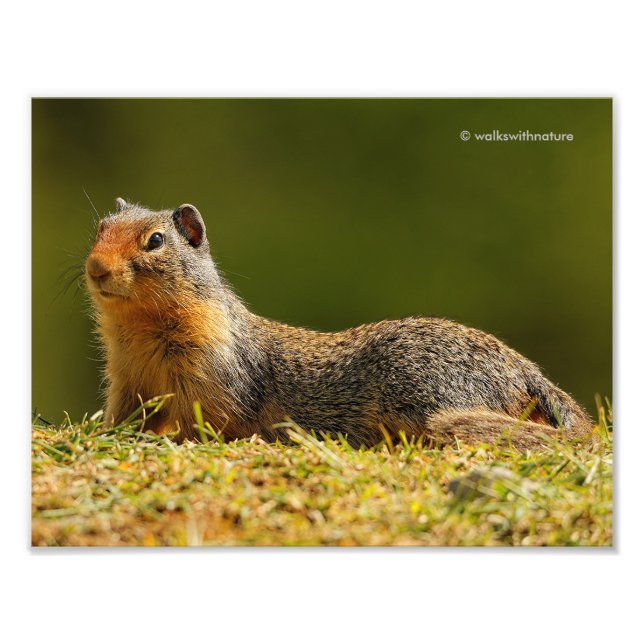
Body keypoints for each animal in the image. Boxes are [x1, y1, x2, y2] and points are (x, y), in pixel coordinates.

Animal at [84, 198, 593, 450]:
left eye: (155, 241)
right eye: (100, 228)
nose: (95, 267)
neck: (142, 330)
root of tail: (526, 371)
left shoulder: (209, 376)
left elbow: (207, 421)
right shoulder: (126, 378)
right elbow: (124, 414)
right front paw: (105, 433)